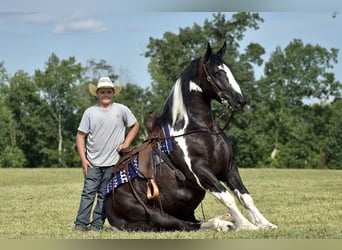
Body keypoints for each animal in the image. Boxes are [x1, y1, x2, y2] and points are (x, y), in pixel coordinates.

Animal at [105, 42, 276, 231]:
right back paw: (224, 224)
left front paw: (265, 223)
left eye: (229, 70)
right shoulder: (200, 171)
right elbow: (228, 198)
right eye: (216, 72)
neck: (200, 130)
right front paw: (247, 225)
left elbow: (245, 197)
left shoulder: (229, 168)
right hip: (155, 215)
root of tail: (109, 210)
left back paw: (225, 220)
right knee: (184, 224)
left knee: (193, 220)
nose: (240, 100)